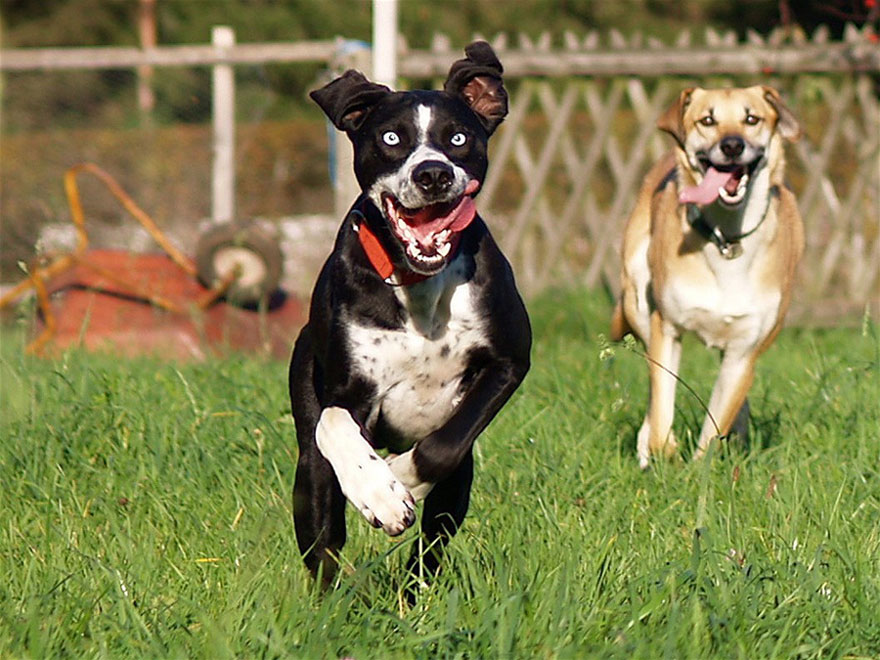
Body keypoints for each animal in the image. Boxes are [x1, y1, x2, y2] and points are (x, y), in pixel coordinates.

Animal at [292, 42, 532, 588]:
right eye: (391, 138)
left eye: (459, 137)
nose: (433, 174)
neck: (418, 284)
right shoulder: (344, 389)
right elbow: (332, 423)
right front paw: (378, 493)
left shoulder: (508, 360)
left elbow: (443, 448)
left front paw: (401, 476)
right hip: (308, 465)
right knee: (322, 536)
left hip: (456, 490)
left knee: (434, 536)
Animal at [612, 86, 804, 470]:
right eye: (707, 120)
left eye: (751, 118)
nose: (731, 145)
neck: (726, 238)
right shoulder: (667, 328)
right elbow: (661, 401)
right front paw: (664, 451)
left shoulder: (745, 349)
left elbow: (717, 422)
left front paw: (702, 469)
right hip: (637, 296)